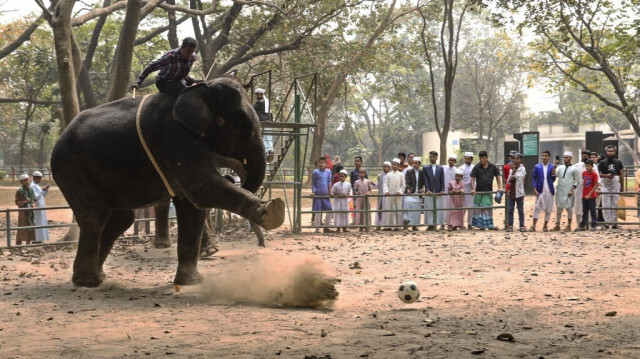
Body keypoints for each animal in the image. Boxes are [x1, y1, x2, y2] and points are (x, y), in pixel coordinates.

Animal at [51, 75, 286, 286]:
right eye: (239, 121)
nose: (233, 175)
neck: (200, 87)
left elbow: (192, 206)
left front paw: (192, 281)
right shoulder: (174, 135)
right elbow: (203, 188)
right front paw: (272, 211)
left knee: (120, 219)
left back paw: (98, 275)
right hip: (71, 166)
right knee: (95, 215)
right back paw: (89, 281)